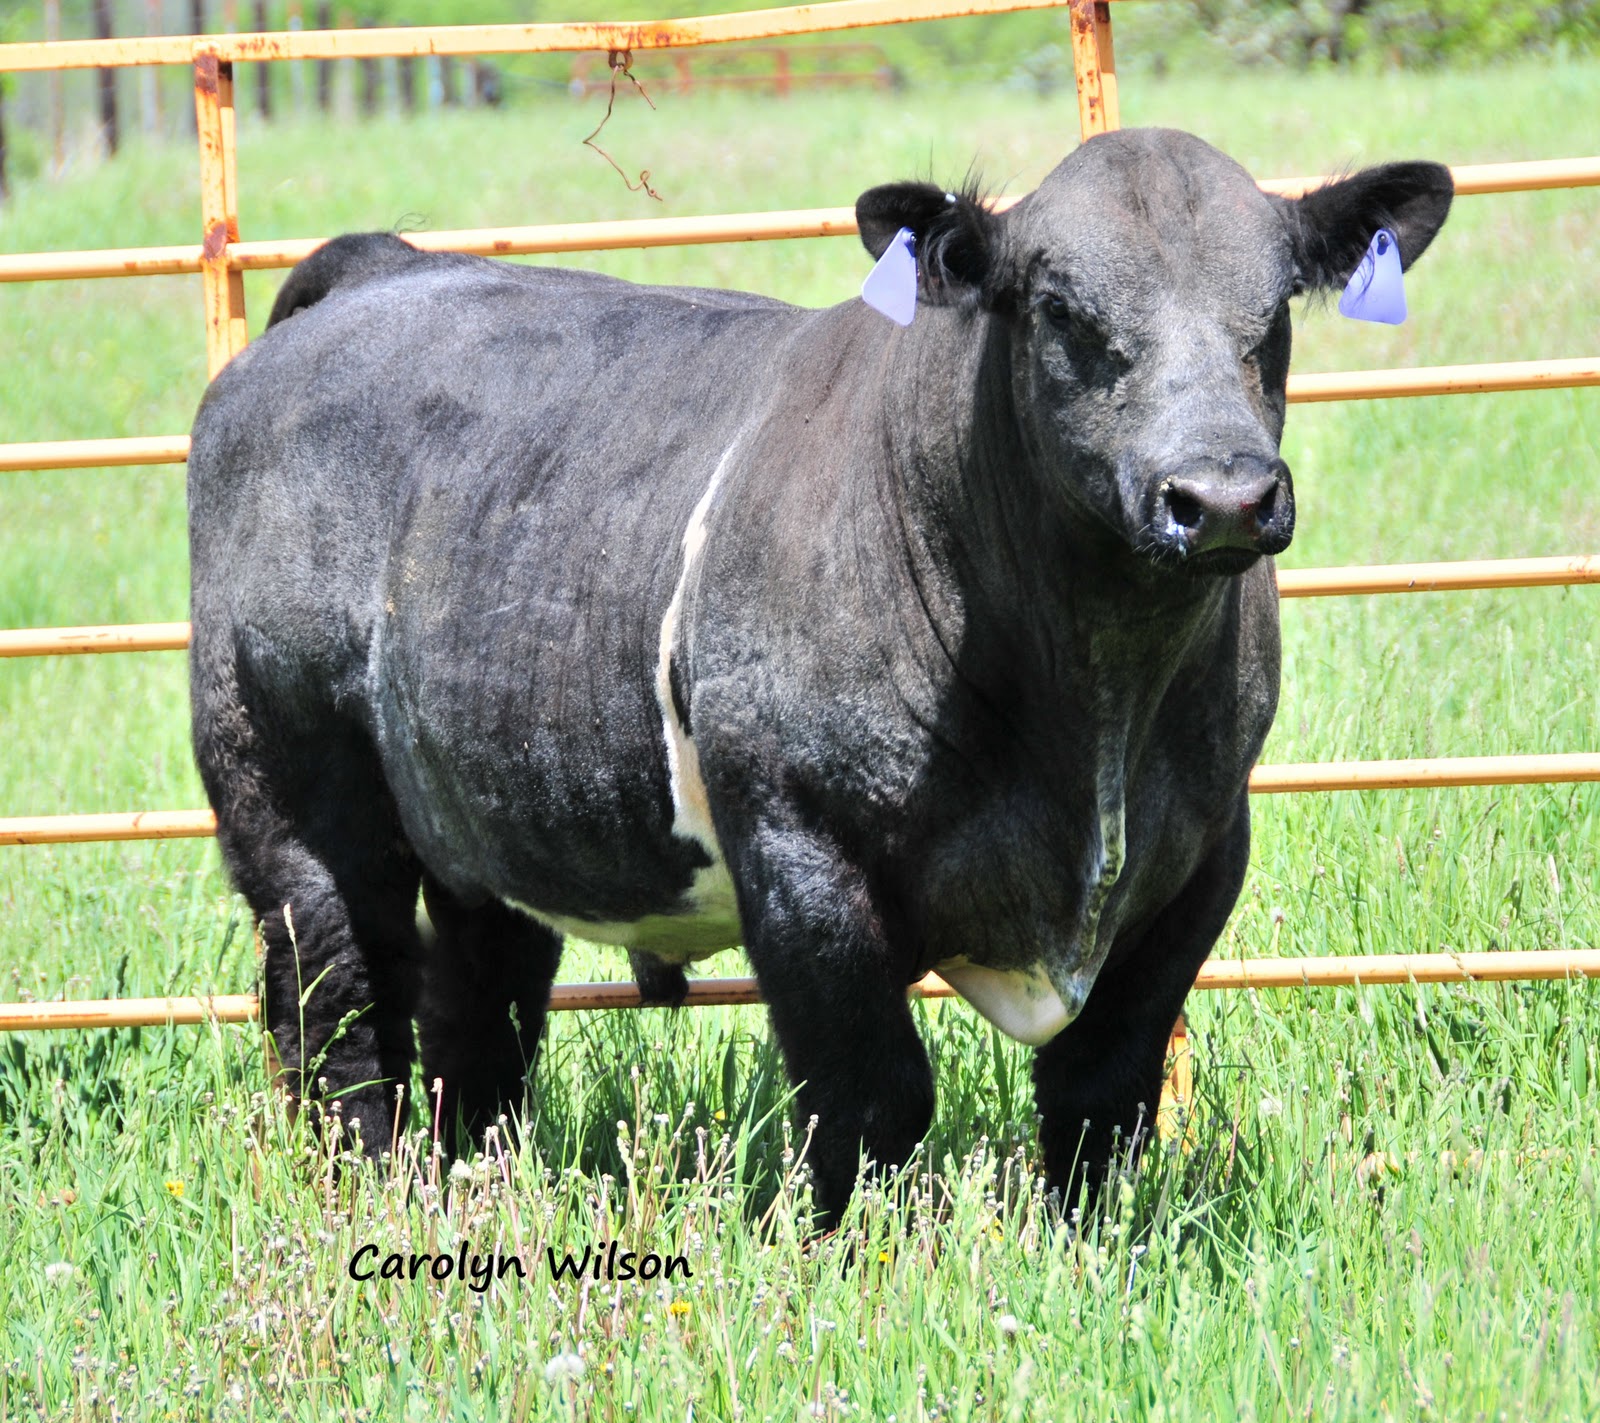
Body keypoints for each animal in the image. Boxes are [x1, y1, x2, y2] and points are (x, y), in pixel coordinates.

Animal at [186, 127, 1452, 1222]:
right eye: (1058, 308)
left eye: (1275, 306)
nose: (1221, 495)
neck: (1089, 707)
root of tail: (386, 271)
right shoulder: (800, 851)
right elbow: (872, 1095)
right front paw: (857, 1250)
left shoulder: (1200, 850)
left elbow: (1103, 1090)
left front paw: (1087, 1252)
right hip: (285, 780)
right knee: (339, 994)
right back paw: (366, 1183)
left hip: (482, 816)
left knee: (475, 1004)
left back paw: (466, 1179)